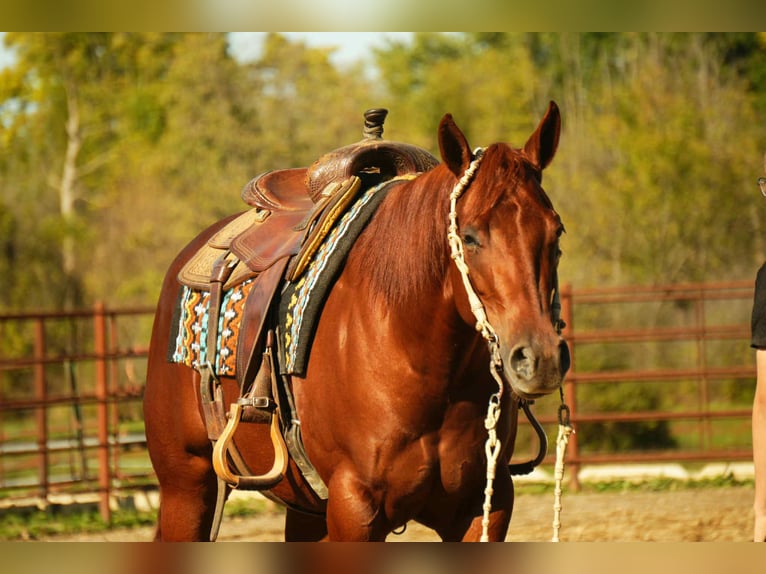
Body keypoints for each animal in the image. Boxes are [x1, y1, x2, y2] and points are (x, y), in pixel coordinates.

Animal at [143, 101, 568, 541]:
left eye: (556, 232)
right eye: (468, 237)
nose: (539, 359)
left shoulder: (486, 505)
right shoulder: (355, 508)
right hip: (185, 486)